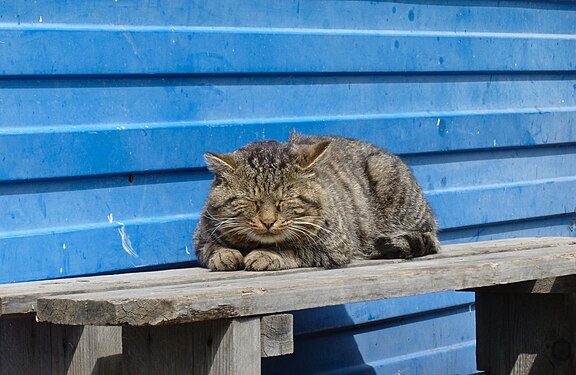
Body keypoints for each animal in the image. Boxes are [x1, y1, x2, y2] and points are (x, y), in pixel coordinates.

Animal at [194, 134, 440, 272]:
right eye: (251, 201)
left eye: (285, 200)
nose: (268, 222)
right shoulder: (201, 239)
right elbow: (212, 248)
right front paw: (224, 255)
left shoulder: (334, 247)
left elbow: (292, 248)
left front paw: (267, 254)